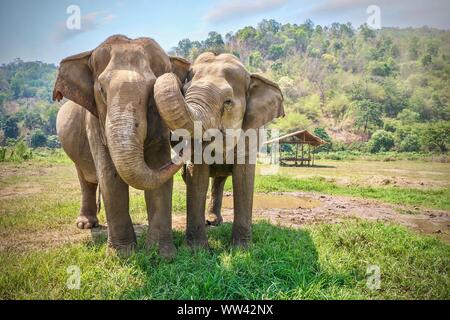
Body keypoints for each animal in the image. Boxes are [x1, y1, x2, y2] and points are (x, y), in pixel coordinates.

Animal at [54, 35, 188, 258]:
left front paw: (162, 255)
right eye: (101, 90)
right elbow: (110, 176)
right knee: (85, 179)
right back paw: (85, 225)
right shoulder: (95, 122)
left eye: (152, 91)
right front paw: (122, 255)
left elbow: (157, 169)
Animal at [153, 52, 284, 248]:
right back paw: (210, 221)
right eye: (184, 91)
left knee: (219, 180)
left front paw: (242, 248)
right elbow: (197, 178)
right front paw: (197, 250)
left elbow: (244, 180)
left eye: (228, 102)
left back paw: (215, 221)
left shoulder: (250, 136)